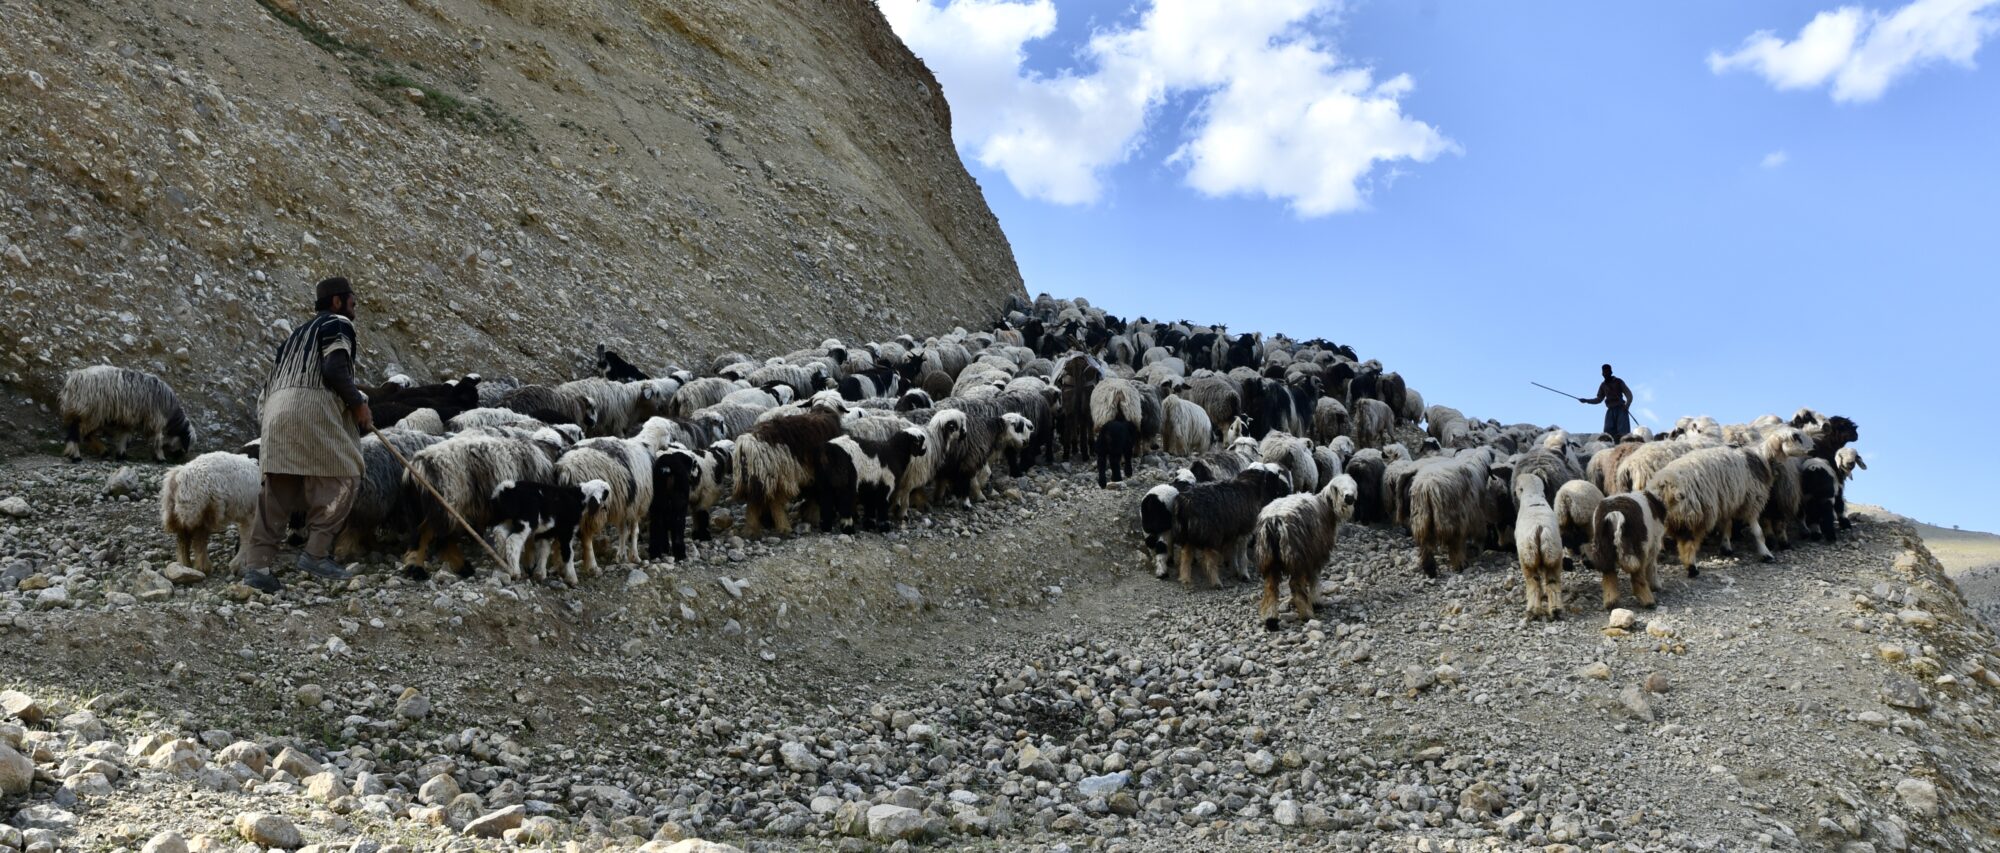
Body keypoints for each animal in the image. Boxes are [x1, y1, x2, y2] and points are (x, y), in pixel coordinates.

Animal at [59, 362, 194, 462]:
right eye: (185, 442)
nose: (181, 459)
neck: (170, 411)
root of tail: (74, 379)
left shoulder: (129, 419)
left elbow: (124, 436)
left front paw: (121, 454)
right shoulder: (155, 420)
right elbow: (157, 440)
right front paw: (161, 458)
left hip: (88, 413)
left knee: (85, 433)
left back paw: (102, 451)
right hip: (91, 412)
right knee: (77, 432)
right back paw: (76, 455)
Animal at [1168, 462, 1296, 588]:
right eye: (1272, 476)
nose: (1283, 493)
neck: (1250, 486)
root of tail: (1184, 502)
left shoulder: (1233, 529)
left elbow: (1232, 551)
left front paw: (1234, 570)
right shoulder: (1244, 529)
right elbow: (1242, 555)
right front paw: (1244, 574)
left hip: (1187, 533)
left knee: (1186, 556)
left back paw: (1185, 578)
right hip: (1210, 533)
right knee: (1208, 560)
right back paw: (1216, 582)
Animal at [1248, 470, 1360, 628]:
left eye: (1353, 486)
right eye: (1337, 488)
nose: (1349, 498)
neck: (1326, 507)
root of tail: (1274, 521)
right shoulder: (1316, 554)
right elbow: (1314, 579)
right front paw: (1316, 601)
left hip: (1268, 557)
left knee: (1271, 587)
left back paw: (1270, 619)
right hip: (1296, 556)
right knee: (1294, 584)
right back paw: (1306, 614)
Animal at [1520, 472, 1568, 620]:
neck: (1533, 496)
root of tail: (1540, 528)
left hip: (1528, 556)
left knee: (1533, 582)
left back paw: (1533, 611)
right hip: (1554, 552)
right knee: (1553, 581)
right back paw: (1556, 610)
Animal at [1640, 424, 1816, 572]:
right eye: (1795, 436)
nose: (1814, 448)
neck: (1761, 458)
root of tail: (1663, 483)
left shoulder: (1728, 501)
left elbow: (1726, 525)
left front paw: (1726, 547)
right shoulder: (1752, 500)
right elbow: (1757, 532)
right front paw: (1766, 554)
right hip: (1696, 512)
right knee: (1688, 542)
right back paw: (1692, 568)